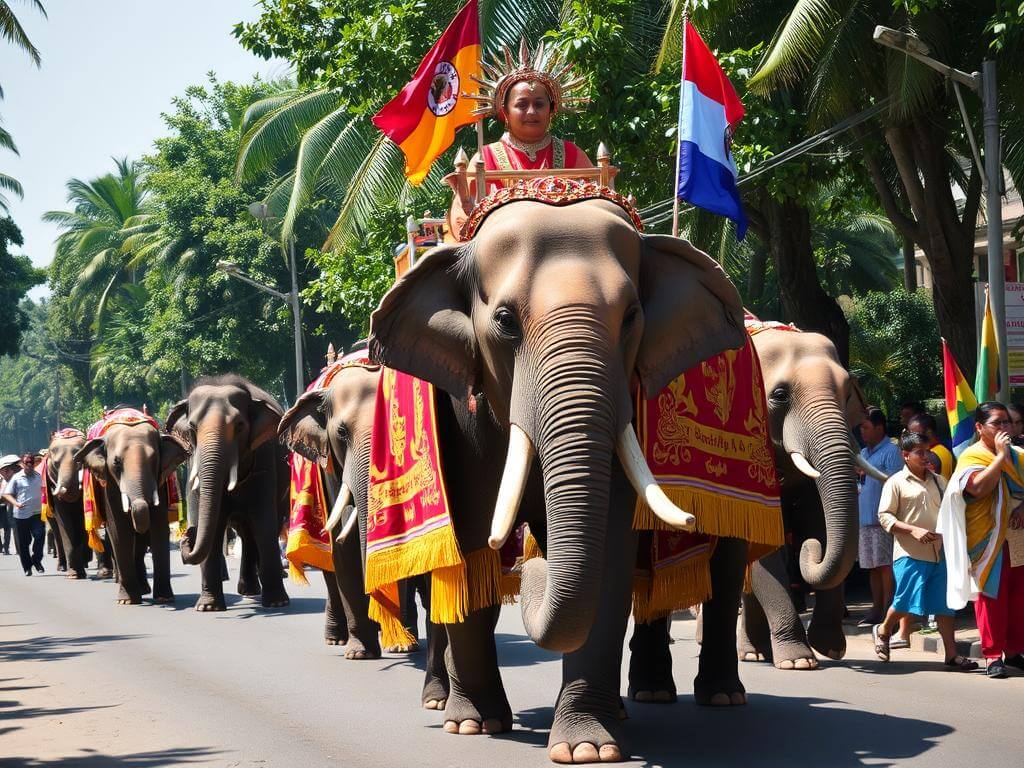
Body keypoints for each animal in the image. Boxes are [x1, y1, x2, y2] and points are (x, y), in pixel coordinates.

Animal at [75, 417, 189, 604]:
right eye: (116, 462)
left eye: (154, 459)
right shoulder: (109, 484)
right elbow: (119, 530)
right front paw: (127, 601)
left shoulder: (160, 482)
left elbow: (158, 528)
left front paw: (164, 599)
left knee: (139, 544)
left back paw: (143, 589)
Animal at [166, 374, 290, 612]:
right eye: (193, 428)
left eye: (240, 426)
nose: (187, 534)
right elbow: (212, 527)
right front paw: (207, 607)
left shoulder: (264, 458)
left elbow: (264, 521)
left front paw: (277, 603)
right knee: (244, 531)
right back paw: (248, 590)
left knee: (260, 528)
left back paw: (253, 591)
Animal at [279, 362, 451, 708]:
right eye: (342, 433)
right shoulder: (332, 467)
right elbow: (344, 547)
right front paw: (360, 654)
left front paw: (401, 644)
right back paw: (338, 639)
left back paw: (403, 640)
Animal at [369, 194, 750, 764]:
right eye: (505, 321)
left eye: (631, 317)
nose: (531, 560)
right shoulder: (460, 420)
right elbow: (471, 546)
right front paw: (477, 726)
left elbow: (610, 552)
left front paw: (588, 748)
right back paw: (455, 710)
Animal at [737, 326, 877, 668]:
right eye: (780, 395)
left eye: (847, 393)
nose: (808, 550)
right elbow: (764, 545)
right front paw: (798, 661)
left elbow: (822, 528)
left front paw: (831, 649)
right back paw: (752, 654)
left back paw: (756, 653)